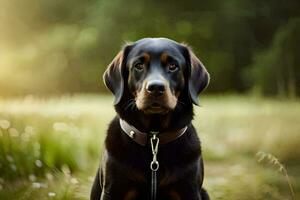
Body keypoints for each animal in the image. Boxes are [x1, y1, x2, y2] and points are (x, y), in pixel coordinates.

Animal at [90, 38, 210, 200]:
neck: (154, 137)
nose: (156, 88)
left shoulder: (189, 189)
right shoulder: (113, 189)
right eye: (138, 66)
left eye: (173, 66)